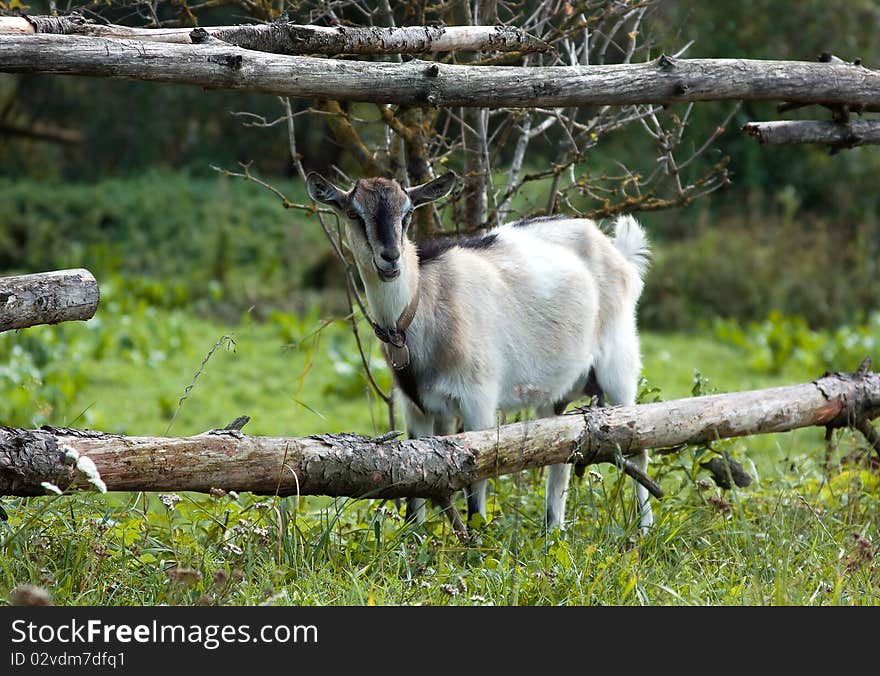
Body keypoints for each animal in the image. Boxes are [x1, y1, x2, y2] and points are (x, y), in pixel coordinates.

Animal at [306, 172, 648, 532]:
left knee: (638, 445)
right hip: (555, 394)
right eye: (353, 214)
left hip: (619, 364)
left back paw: (643, 529)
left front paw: (476, 538)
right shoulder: (414, 408)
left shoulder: (478, 402)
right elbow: (413, 492)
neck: (423, 304)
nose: (391, 258)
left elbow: (475, 485)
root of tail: (618, 253)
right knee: (562, 456)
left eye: (408, 213)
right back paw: (553, 530)